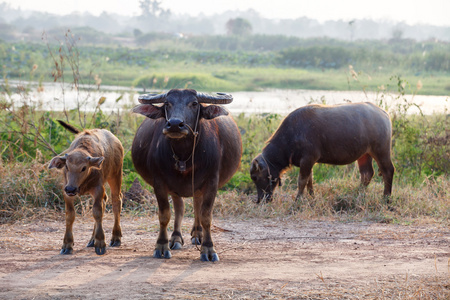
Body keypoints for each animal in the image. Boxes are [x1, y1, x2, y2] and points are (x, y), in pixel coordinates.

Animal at [48, 120, 125, 255]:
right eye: (66, 166)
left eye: (84, 168)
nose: (71, 189)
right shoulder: (66, 192)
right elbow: (70, 215)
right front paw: (67, 244)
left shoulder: (98, 189)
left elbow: (97, 212)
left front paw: (100, 243)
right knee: (105, 200)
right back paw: (92, 240)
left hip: (116, 175)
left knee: (116, 202)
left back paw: (116, 237)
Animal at [131, 88, 243, 262]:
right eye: (167, 103)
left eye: (194, 103)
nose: (175, 124)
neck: (184, 155)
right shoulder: (159, 182)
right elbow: (165, 215)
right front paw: (161, 246)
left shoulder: (212, 182)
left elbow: (206, 216)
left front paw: (208, 248)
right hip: (175, 188)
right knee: (180, 207)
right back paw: (176, 237)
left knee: (197, 205)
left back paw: (198, 234)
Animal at [251, 103, 396, 204]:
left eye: (255, 178)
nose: (260, 200)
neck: (291, 135)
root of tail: (384, 114)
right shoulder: (308, 162)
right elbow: (309, 180)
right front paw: (312, 197)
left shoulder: (308, 159)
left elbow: (302, 181)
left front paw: (298, 200)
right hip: (364, 154)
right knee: (366, 174)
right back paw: (356, 193)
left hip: (381, 150)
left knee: (388, 170)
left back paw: (386, 198)